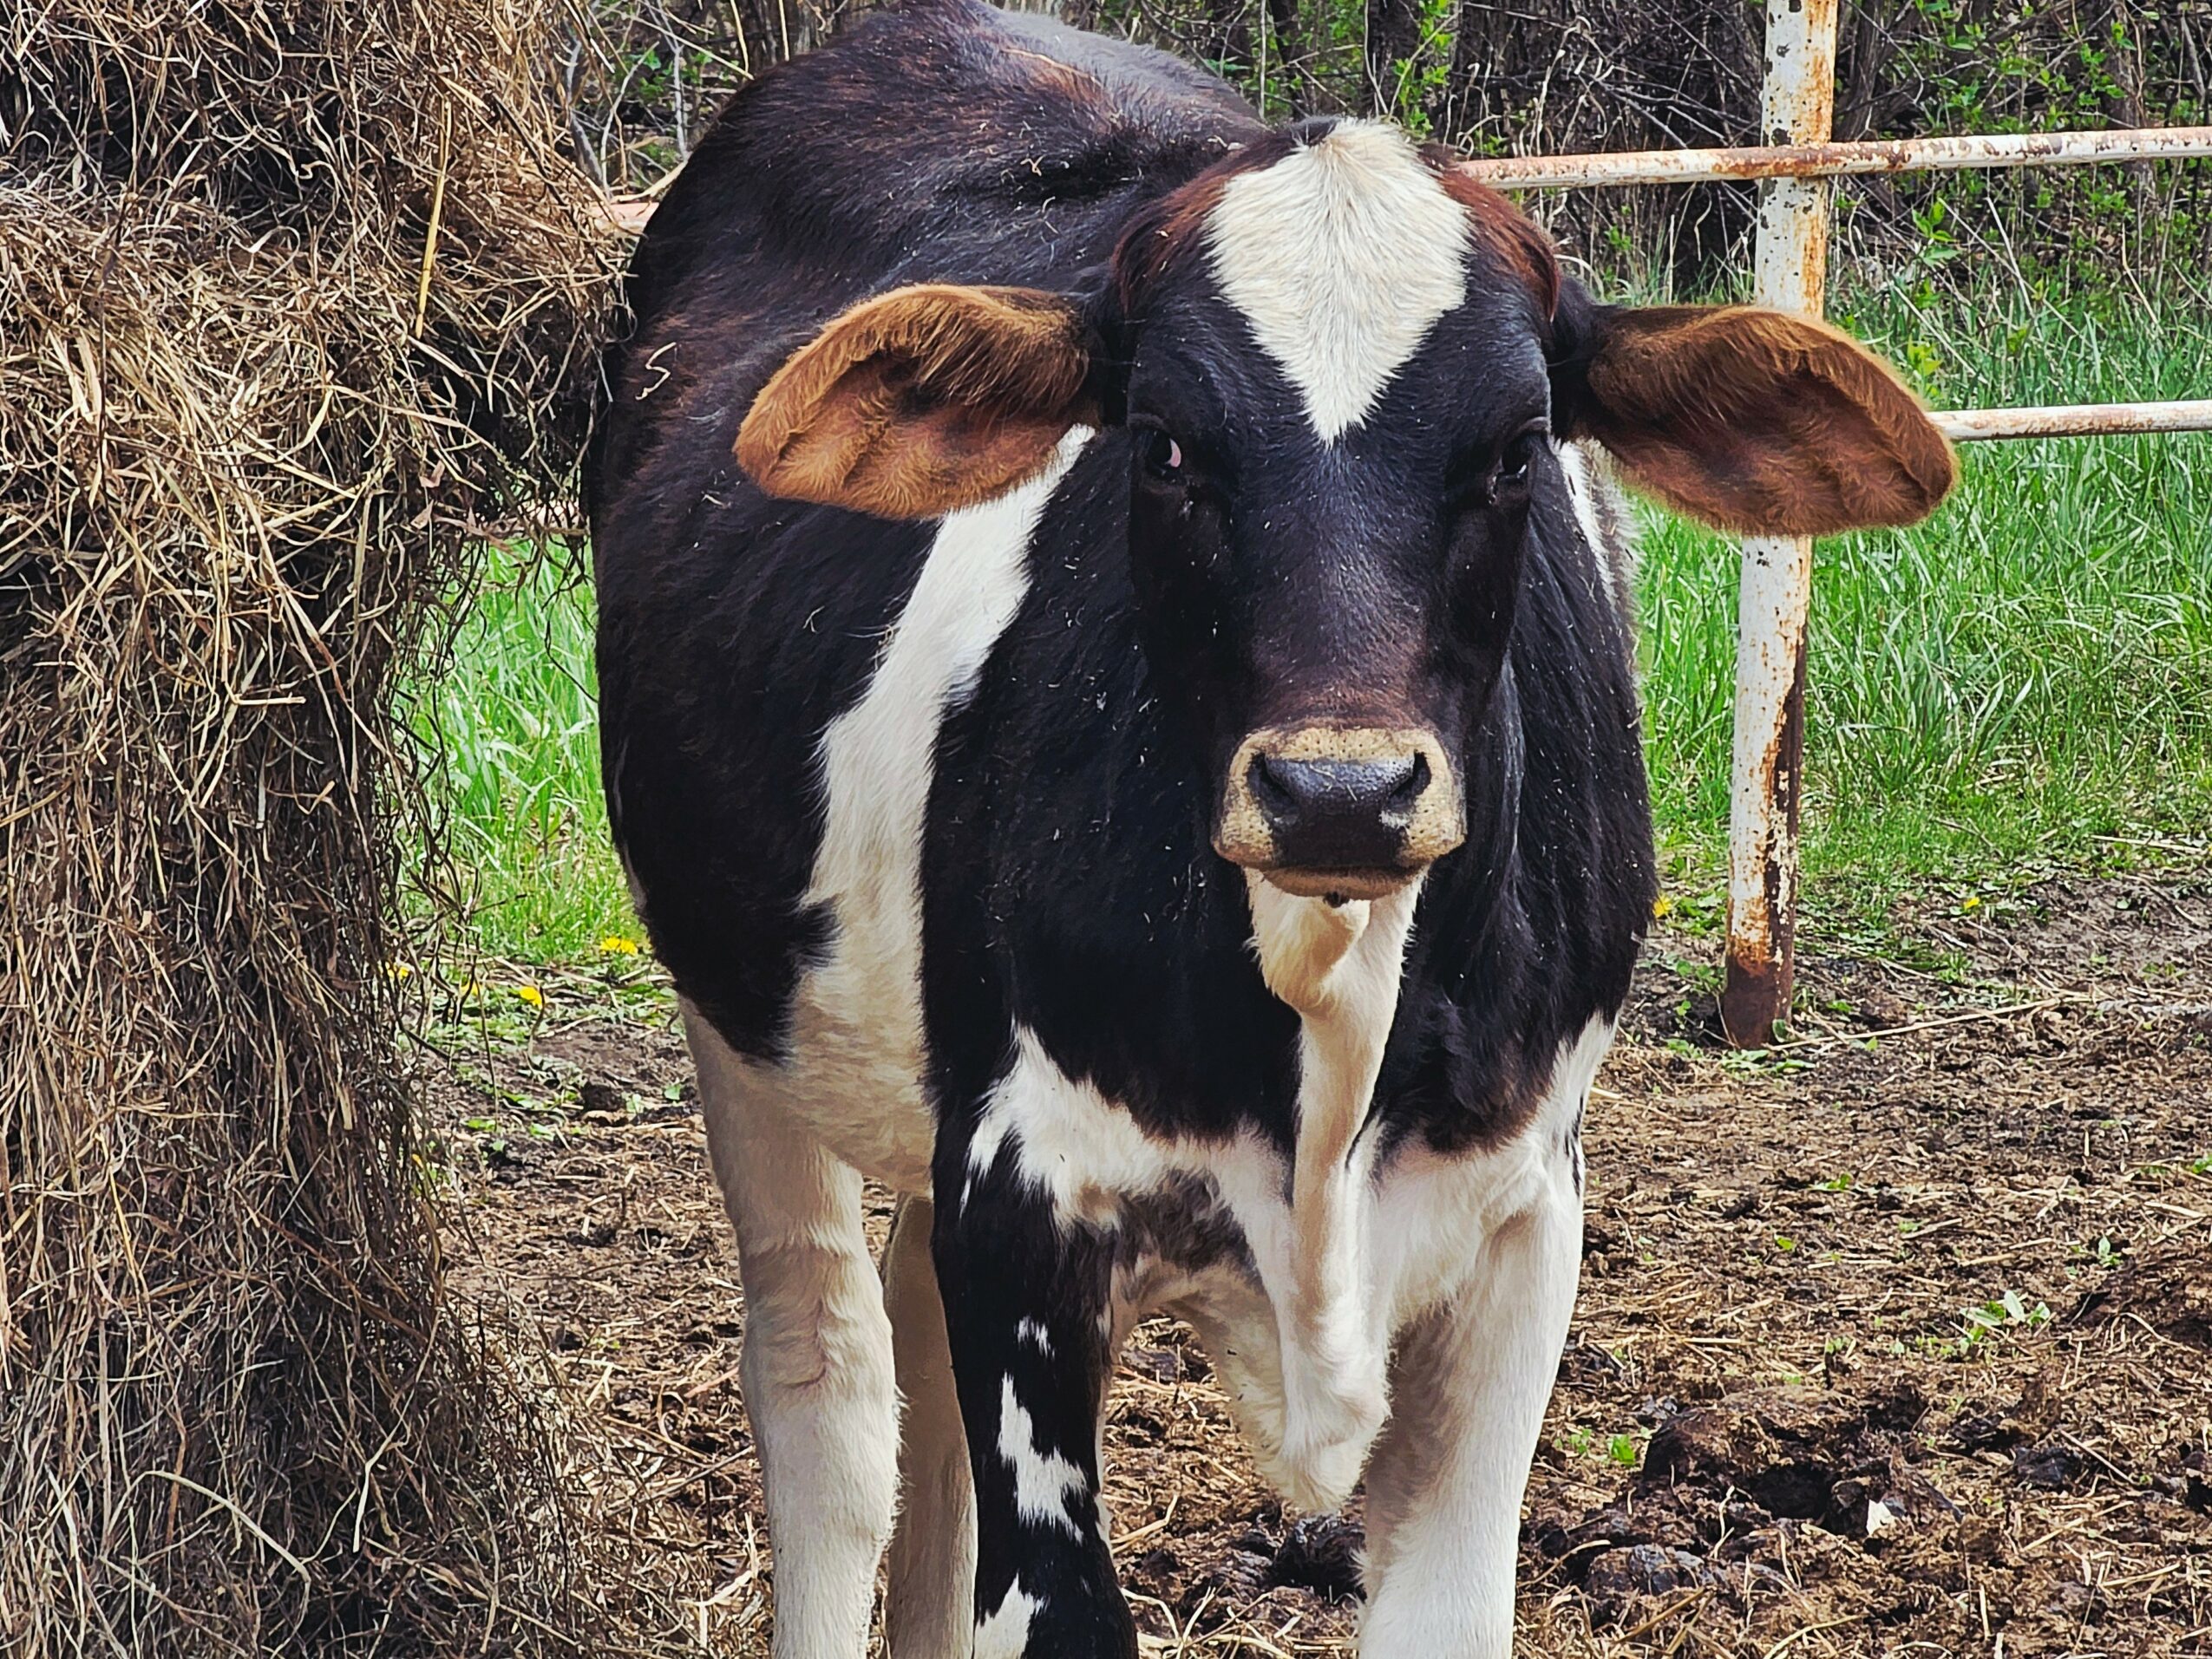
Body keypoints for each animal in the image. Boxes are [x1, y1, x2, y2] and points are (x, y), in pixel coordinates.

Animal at [585, 3, 1954, 1653]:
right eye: (1165, 442)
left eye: (1515, 446)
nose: (1339, 791)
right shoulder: (1022, 1199)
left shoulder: (1521, 1221)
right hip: (736, 1010)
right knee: (826, 1386)